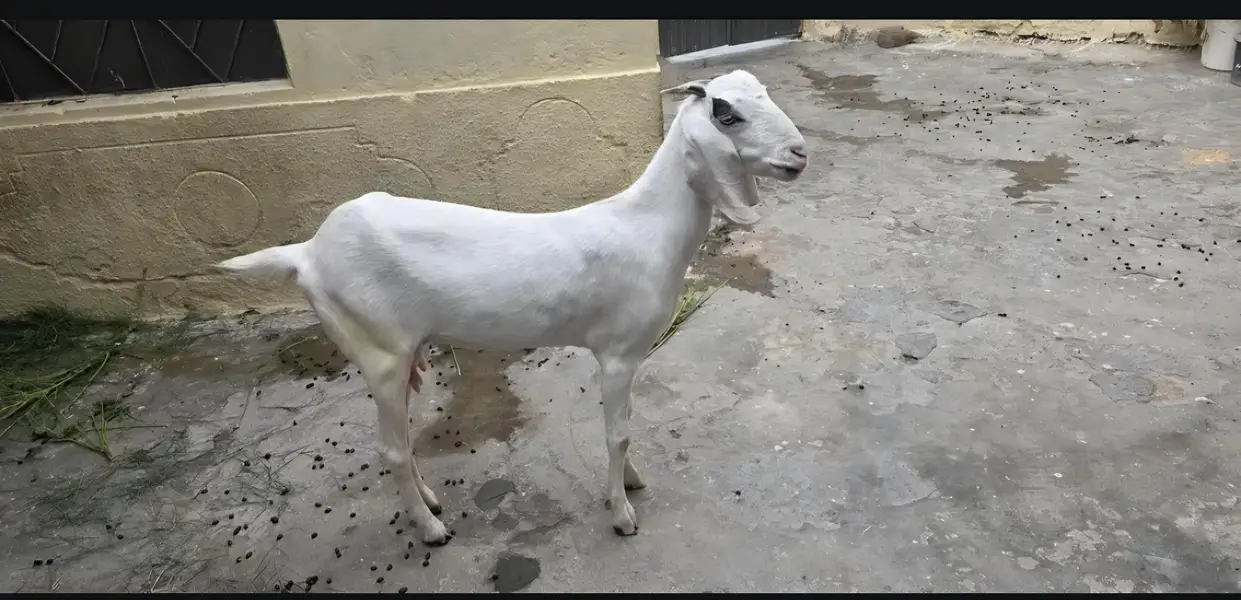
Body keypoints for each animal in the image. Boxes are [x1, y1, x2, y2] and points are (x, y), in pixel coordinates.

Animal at [215, 70, 807, 546]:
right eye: (725, 113)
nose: (799, 153)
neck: (646, 227)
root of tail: (306, 253)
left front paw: (631, 481)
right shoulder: (617, 354)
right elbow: (617, 434)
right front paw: (621, 512)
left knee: (400, 442)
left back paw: (429, 500)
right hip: (378, 351)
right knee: (390, 450)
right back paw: (431, 528)